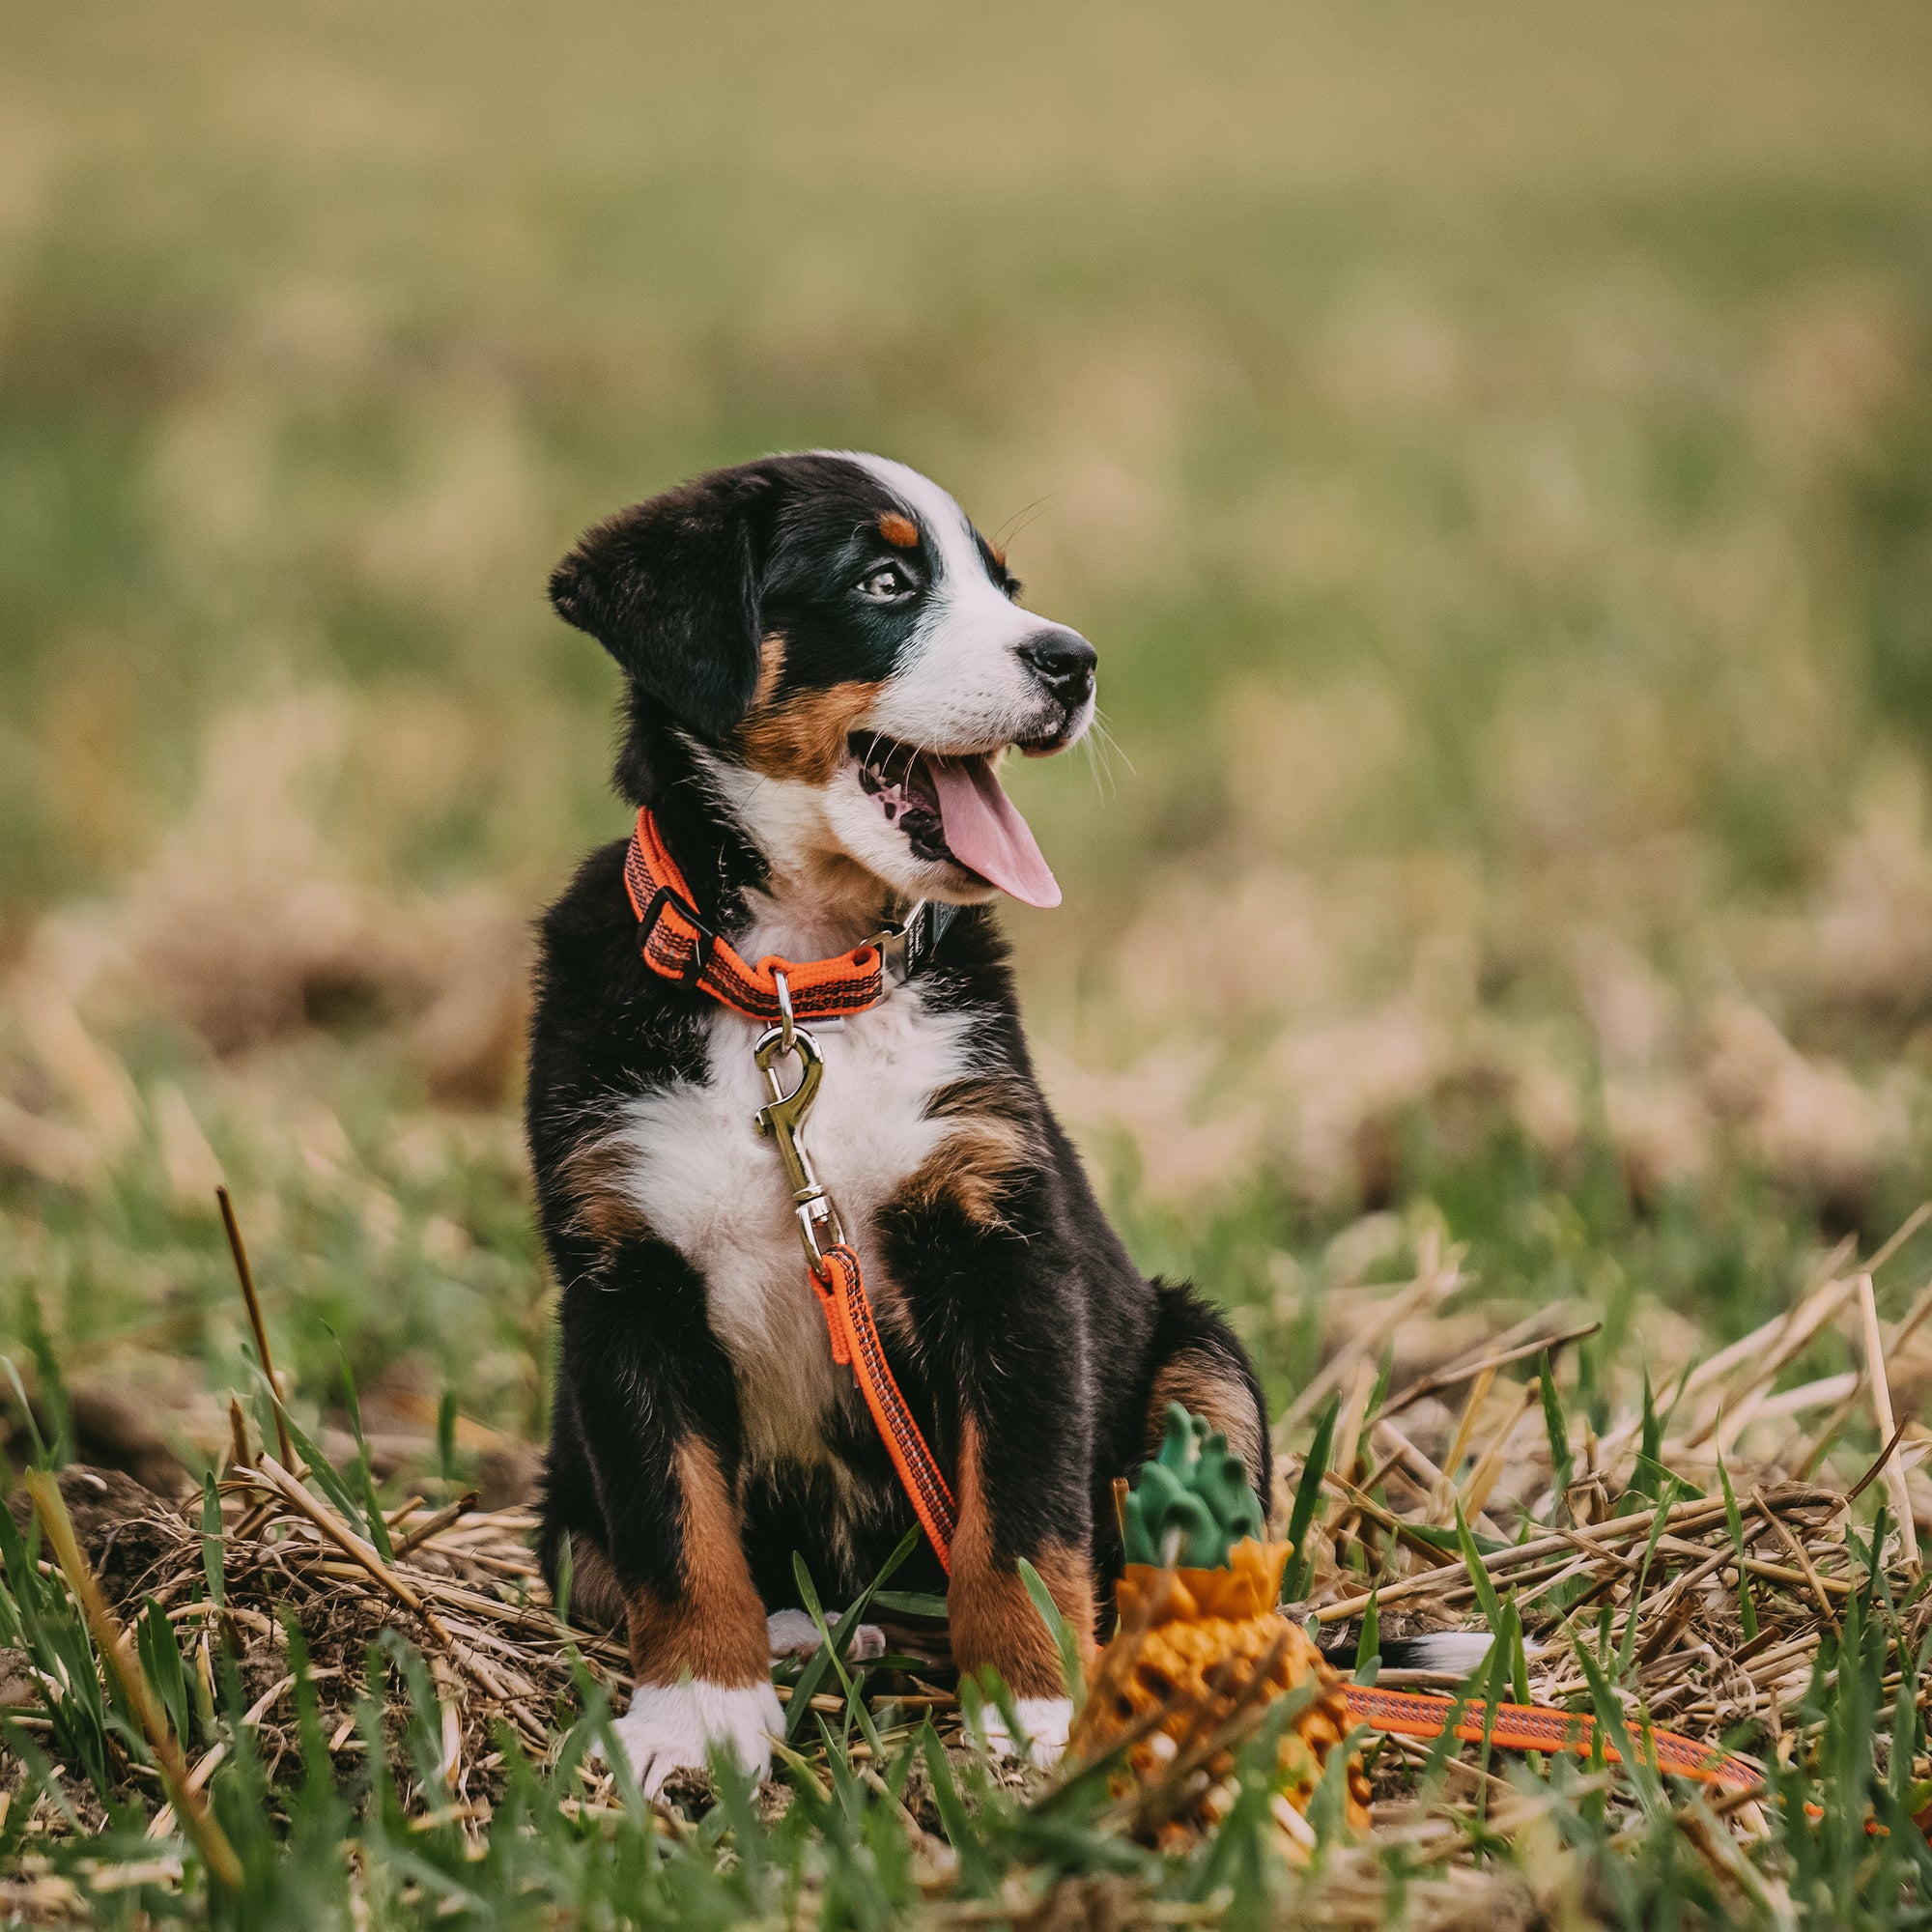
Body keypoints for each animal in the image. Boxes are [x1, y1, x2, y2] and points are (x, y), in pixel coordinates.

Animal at [529, 452, 1267, 1793]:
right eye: (884, 580)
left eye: (1004, 586)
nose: (1073, 661)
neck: (791, 982)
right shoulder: (622, 1281)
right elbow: (676, 1524)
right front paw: (696, 1713)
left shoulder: (1004, 1250)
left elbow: (1017, 1513)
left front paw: (1035, 1710)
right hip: (559, 1490)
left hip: (1201, 1363)